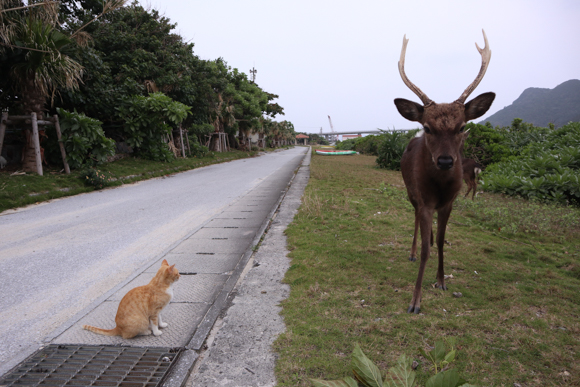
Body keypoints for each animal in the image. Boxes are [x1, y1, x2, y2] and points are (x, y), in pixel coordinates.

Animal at [392, 31, 496, 316]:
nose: (447, 160)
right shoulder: (424, 199)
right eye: (427, 127)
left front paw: (440, 280)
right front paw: (415, 301)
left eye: (461, 127)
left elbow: (440, 241)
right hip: (410, 192)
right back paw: (412, 250)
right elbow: (426, 249)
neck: (440, 187)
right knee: (415, 218)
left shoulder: (449, 202)